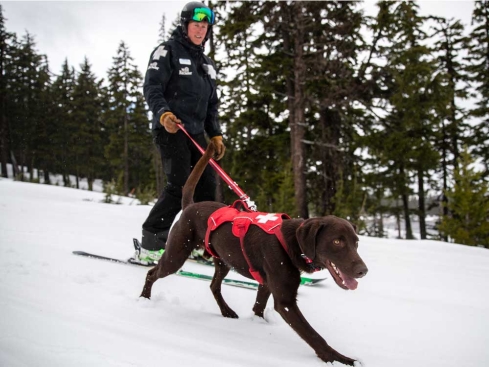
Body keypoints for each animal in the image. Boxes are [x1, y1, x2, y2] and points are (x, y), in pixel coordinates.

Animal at [140, 141, 366, 366]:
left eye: (356, 243)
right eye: (337, 241)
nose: (363, 271)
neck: (290, 243)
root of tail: (189, 206)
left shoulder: (266, 284)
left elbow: (258, 307)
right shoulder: (285, 302)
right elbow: (313, 335)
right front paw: (339, 358)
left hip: (223, 261)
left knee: (214, 286)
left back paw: (226, 311)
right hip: (176, 255)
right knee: (153, 273)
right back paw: (144, 298)